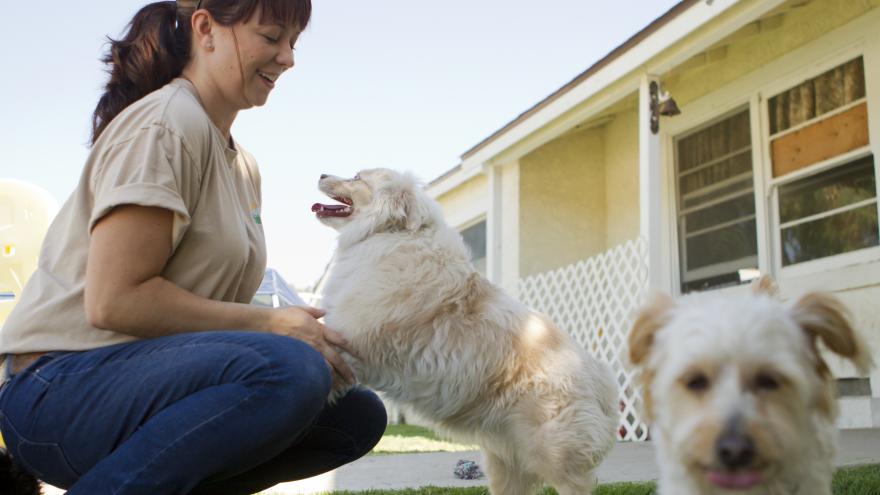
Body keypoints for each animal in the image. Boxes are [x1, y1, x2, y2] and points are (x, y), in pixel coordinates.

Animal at [312, 169, 616, 494]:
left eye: (357, 177)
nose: (322, 173)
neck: (388, 234)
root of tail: (603, 381)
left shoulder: (347, 340)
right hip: (506, 462)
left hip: (556, 454)